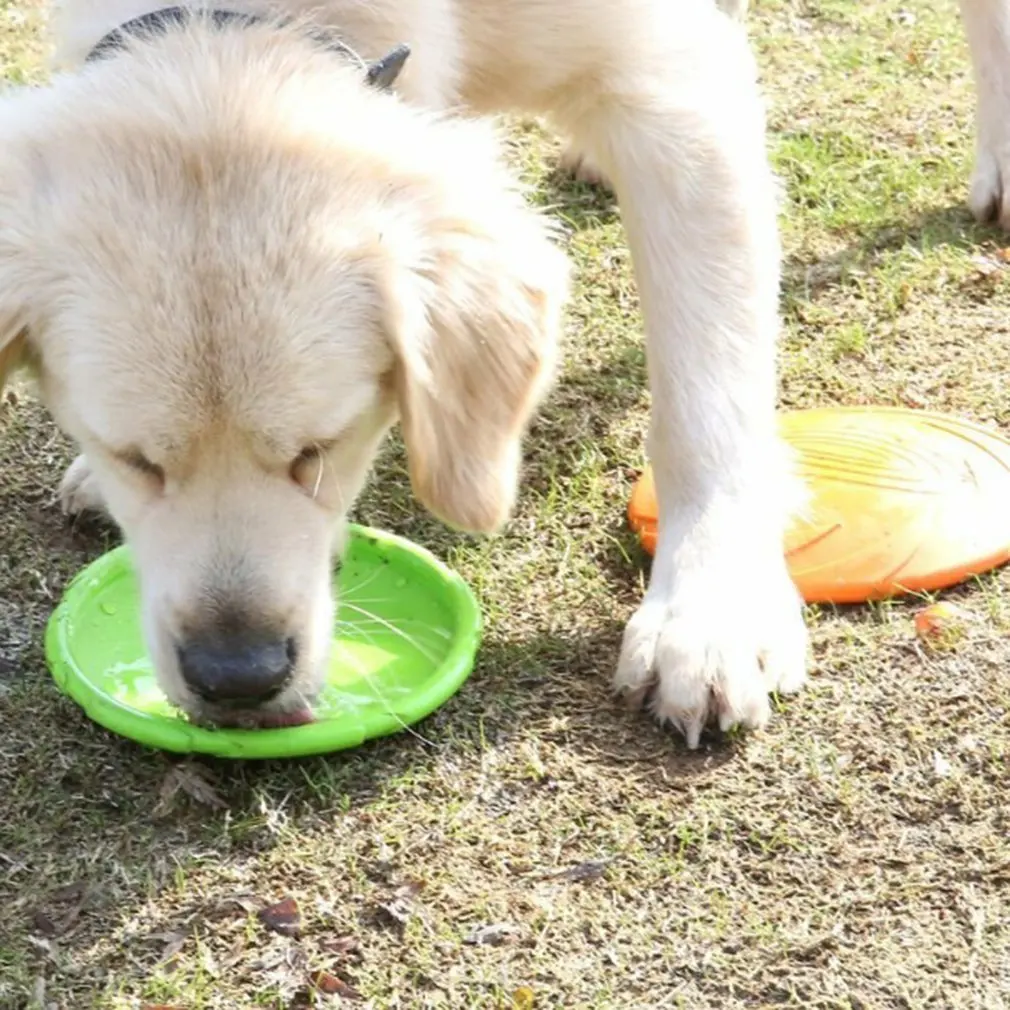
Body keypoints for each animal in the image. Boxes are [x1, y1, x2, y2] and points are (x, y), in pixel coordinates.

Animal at [3, 0, 803, 743]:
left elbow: (703, 404)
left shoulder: (672, 91)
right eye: (133, 458)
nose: (237, 680)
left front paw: (709, 613)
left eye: (319, 449)